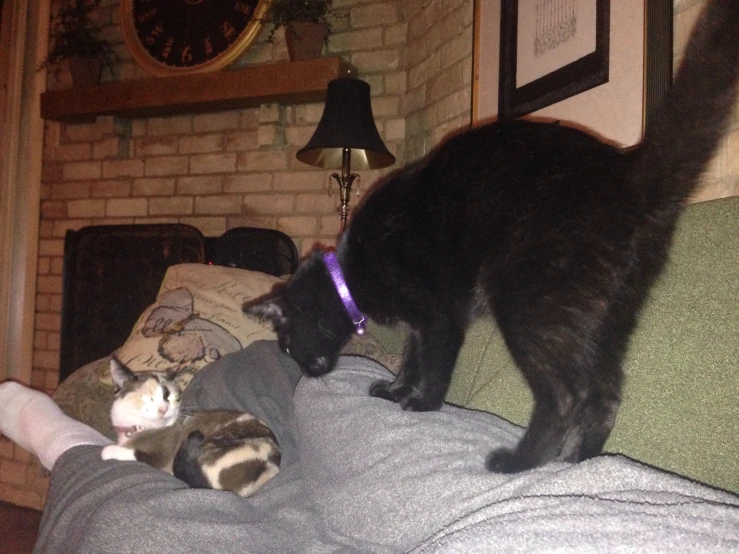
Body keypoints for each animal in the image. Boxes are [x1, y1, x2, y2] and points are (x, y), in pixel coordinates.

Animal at [101, 358, 280, 496]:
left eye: (171, 397)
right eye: (148, 398)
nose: (163, 409)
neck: (137, 428)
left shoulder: (161, 456)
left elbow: (134, 454)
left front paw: (108, 451)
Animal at [246, 0, 739, 474]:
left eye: (286, 344)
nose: (307, 373)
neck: (348, 273)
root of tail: (626, 173)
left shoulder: (439, 316)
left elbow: (433, 365)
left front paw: (421, 405)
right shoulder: (420, 324)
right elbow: (411, 357)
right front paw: (396, 389)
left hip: (531, 304)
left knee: (563, 396)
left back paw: (518, 462)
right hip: (603, 318)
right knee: (605, 394)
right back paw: (576, 463)